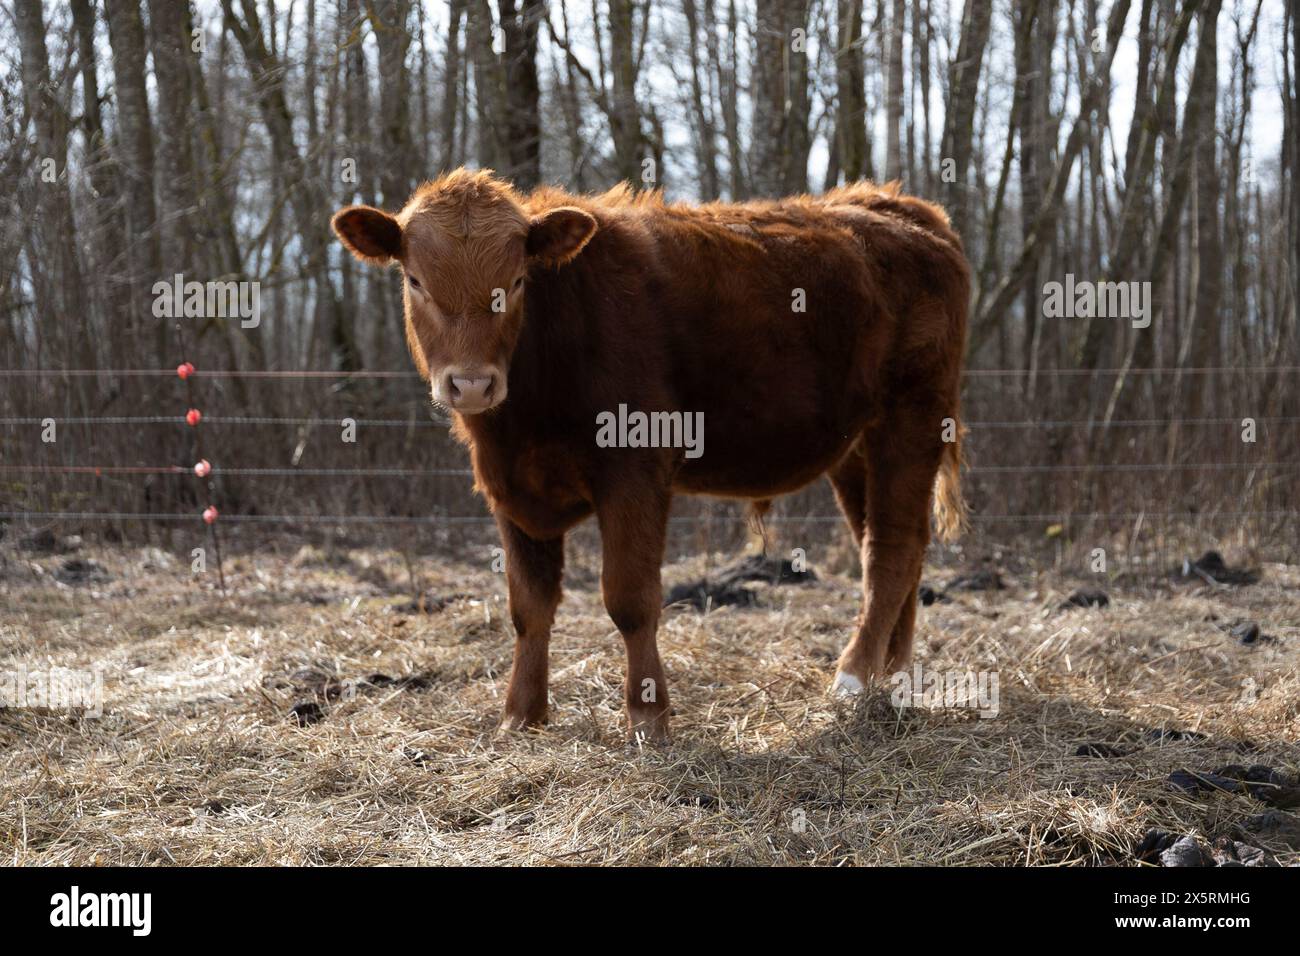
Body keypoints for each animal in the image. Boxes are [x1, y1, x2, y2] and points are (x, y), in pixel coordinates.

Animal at [331, 169, 969, 741]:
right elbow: (528, 606)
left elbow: (630, 599)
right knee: (890, 544)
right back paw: (893, 676)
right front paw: (521, 715)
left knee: (891, 550)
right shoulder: (509, 488)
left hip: (911, 417)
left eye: (513, 283)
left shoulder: (634, 469)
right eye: (415, 280)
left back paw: (854, 679)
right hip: (855, 446)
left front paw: (648, 716)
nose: (470, 384)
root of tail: (900, 207)